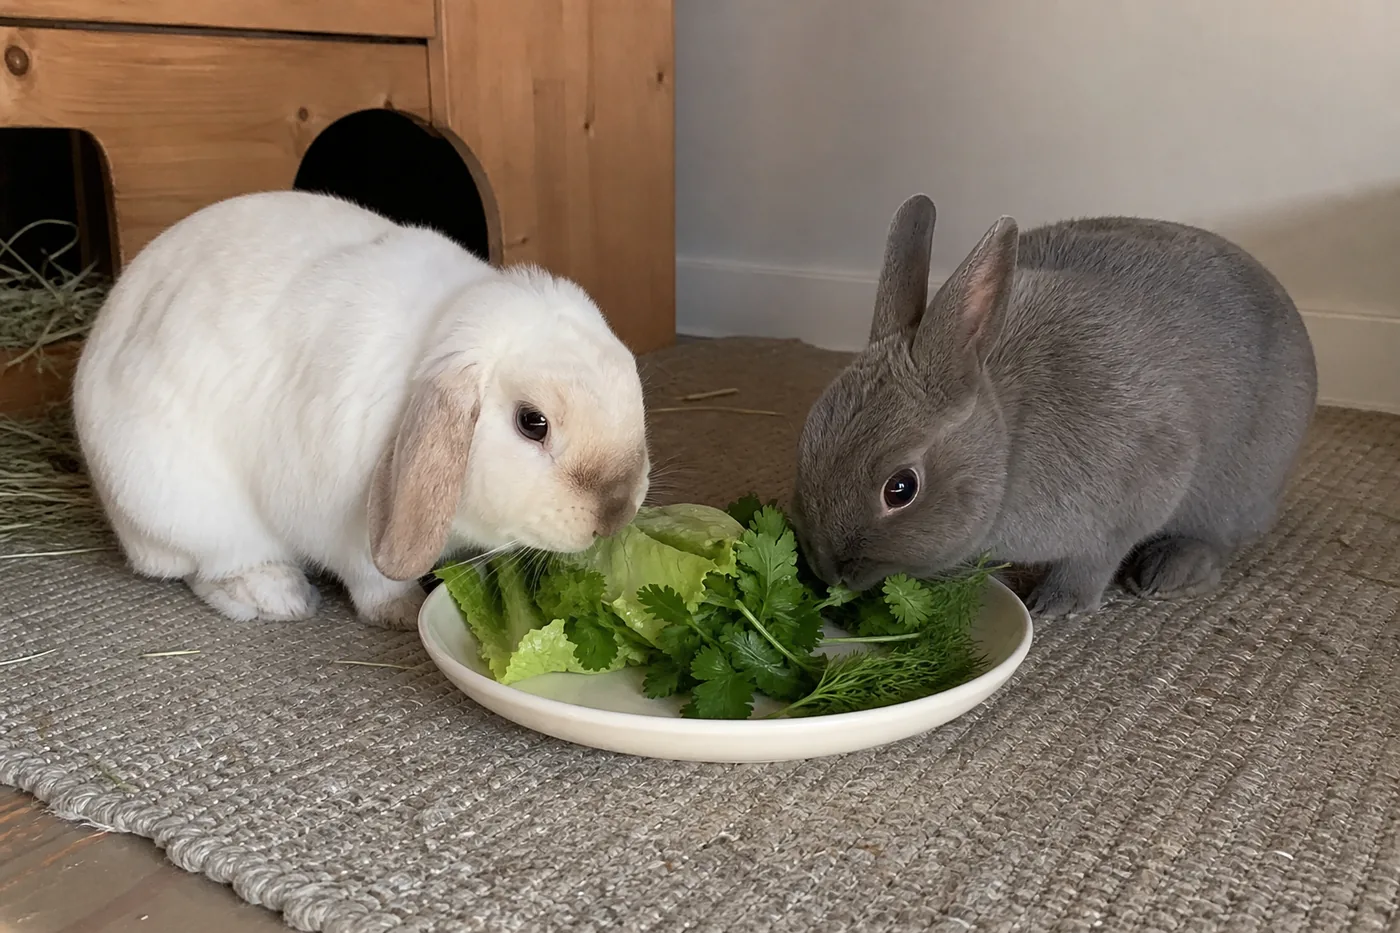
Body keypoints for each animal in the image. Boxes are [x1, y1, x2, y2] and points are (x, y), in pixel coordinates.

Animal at [72, 190, 651, 629]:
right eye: (533, 423)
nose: (616, 513)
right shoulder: (346, 531)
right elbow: (373, 581)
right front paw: (406, 612)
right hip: (186, 510)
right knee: (210, 568)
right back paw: (278, 597)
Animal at [791, 193, 1317, 619]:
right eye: (806, 438)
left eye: (900, 488)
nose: (829, 572)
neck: (1008, 442)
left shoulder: (1140, 486)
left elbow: (1095, 557)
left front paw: (1057, 604)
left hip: (1235, 490)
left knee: (1218, 539)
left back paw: (1170, 572)